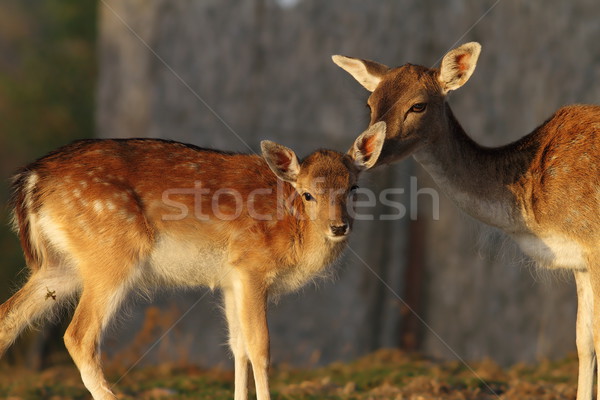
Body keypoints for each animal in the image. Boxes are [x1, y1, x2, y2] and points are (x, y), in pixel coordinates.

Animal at [0, 122, 384, 400]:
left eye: (353, 187)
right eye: (307, 194)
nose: (339, 227)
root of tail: (31, 179)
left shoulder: (231, 279)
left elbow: (237, 347)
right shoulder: (252, 266)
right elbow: (260, 347)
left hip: (59, 267)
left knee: (8, 318)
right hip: (111, 252)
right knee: (78, 336)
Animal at [336, 42, 600, 398]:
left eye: (418, 105)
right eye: (370, 104)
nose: (362, 151)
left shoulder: (594, 244)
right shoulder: (579, 261)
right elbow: (584, 341)